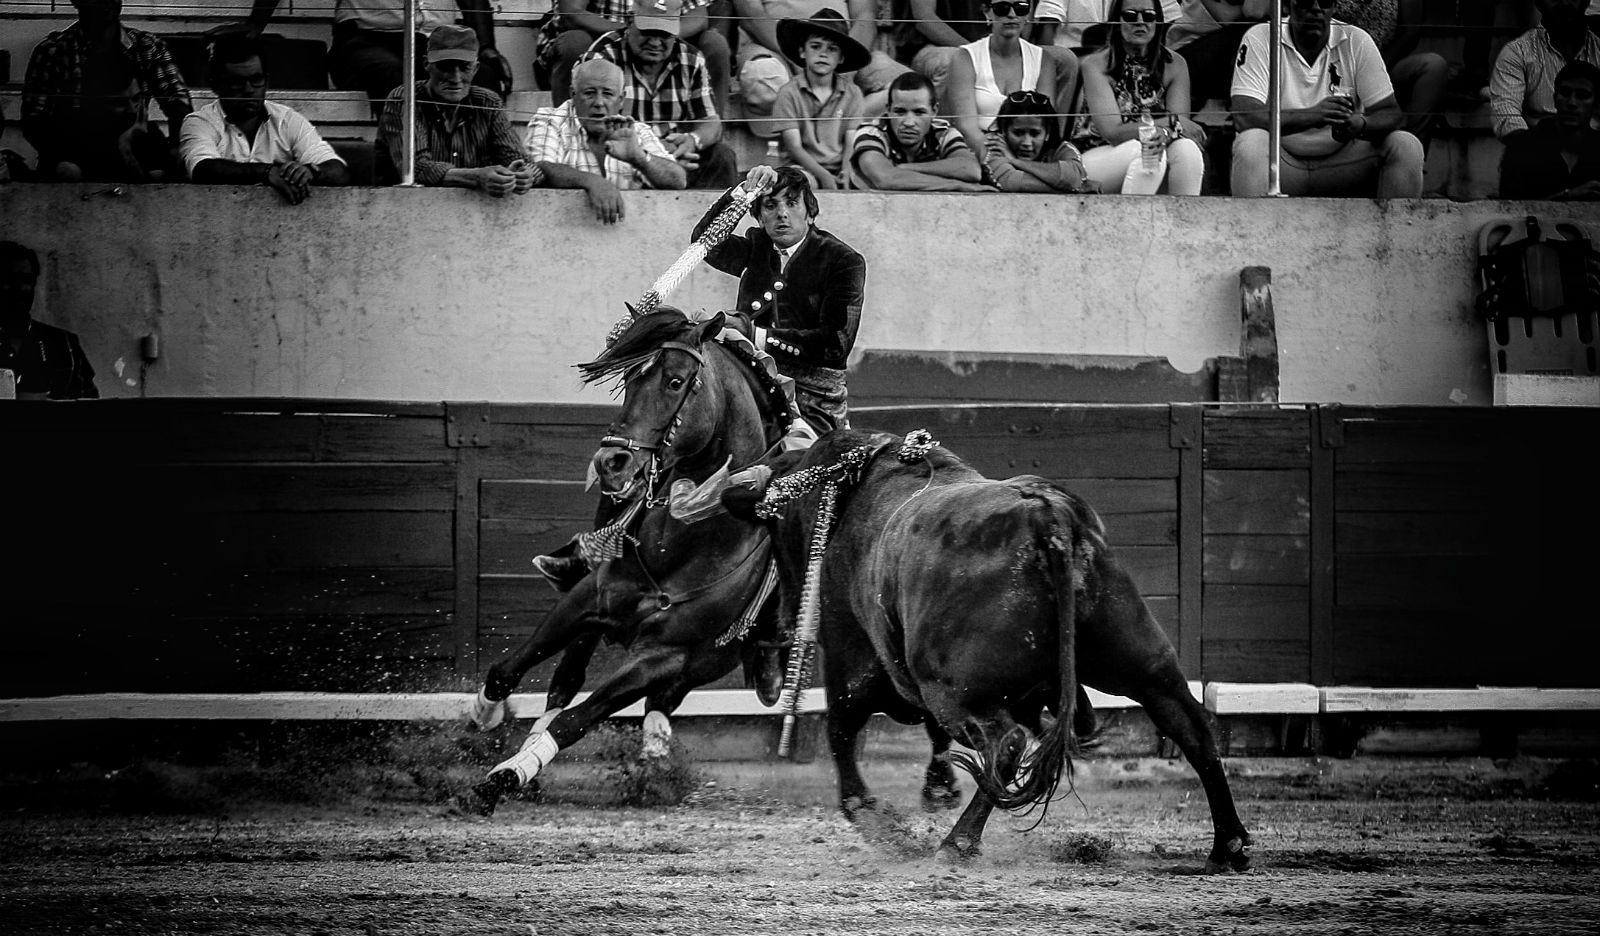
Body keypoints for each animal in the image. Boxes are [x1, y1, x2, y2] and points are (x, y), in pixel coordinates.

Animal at [467, 310, 960, 812]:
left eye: (675, 381)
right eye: (628, 379)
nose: (612, 462)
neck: (686, 533)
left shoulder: (666, 654)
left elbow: (579, 718)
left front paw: (504, 776)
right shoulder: (588, 600)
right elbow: (509, 670)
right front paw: (486, 721)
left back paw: (940, 783)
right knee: (574, 679)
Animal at [732, 428, 1254, 870]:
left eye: (774, 532)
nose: (778, 624)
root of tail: (1047, 516)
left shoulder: (852, 659)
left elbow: (841, 731)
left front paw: (877, 820)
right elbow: (929, 736)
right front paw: (937, 789)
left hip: (953, 687)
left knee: (1005, 742)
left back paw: (957, 843)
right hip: (1140, 660)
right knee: (1192, 727)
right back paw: (1228, 845)